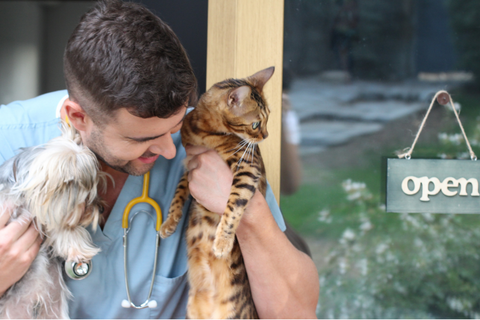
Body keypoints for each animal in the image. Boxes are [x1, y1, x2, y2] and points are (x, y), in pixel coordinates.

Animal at [160, 67, 276, 318]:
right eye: (255, 124)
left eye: (268, 118)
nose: (266, 136)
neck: (205, 131)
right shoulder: (190, 167)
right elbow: (178, 193)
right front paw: (169, 223)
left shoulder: (247, 169)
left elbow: (233, 204)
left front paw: (222, 241)